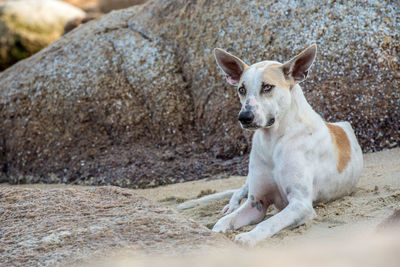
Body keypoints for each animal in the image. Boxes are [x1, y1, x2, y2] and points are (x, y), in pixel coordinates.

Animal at [178, 45, 362, 247]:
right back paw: (231, 204)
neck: (273, 141)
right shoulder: (255, 202)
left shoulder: (301, 204)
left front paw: (247, 237)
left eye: (267, 87)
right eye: (241, 89)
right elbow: (223, 222)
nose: (244, 117)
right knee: (238, 191)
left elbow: (269, 222)